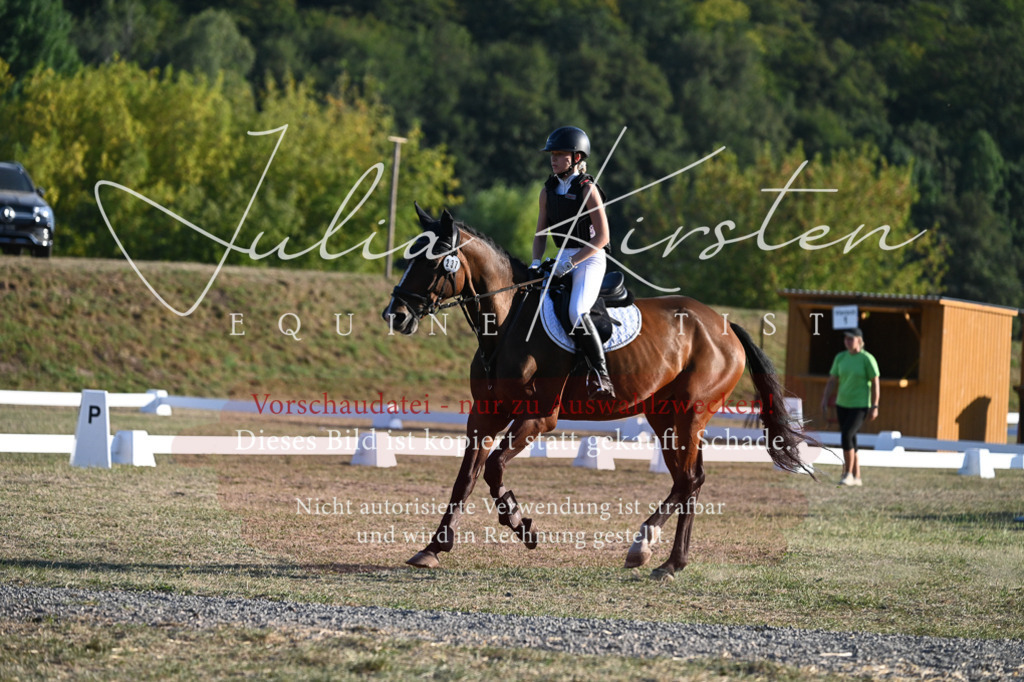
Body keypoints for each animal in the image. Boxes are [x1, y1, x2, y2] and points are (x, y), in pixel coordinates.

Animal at [382, 205, 809, 579]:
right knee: (688, 479)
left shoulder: (539, 416)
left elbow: (493, 467)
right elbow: (466, 478)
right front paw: (434, 548)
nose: (395, 315)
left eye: (434, 261)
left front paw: (521, 524)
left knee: (689, 479)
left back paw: (667, 562)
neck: (506, 324)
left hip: (690, 414)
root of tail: (723, 325)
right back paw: (646, 549)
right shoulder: (486, 413)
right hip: (663, 415)